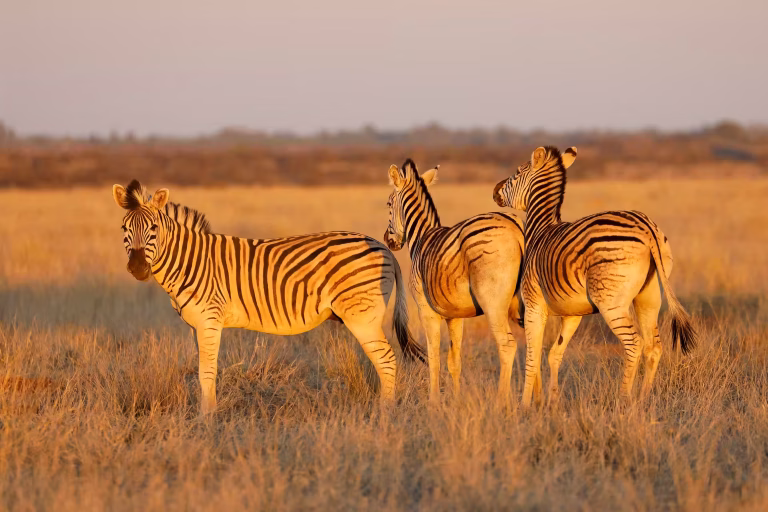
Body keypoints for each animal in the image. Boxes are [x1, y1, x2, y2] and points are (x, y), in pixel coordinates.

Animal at [112, 180, 425, 414]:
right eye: (124, 229)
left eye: (153, 229)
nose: (138, 269)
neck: (189, 261)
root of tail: (384, 247)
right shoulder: (196, 326)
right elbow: (202, 372)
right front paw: (206, 412)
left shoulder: (210, 320)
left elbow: (206, 372)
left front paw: (207, 418)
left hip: (362, 316)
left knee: (387, 360)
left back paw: (385, 413)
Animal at [384, 159, 525, 402]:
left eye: (389, 204)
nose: (388, 240)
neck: (421, 237)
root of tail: (514, 227)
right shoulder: (455, 316)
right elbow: (454, 360)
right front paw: (456, 399)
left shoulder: (426, 310)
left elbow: (434, 358)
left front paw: (433, 402)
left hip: (493, 303)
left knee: (507, 346)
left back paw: (501, 402)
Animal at [492, 146, 696, 407]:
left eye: (517, 172)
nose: (494, 190)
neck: (539, 230)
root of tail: (645, 226)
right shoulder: (573, 313)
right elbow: (555, 354)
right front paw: (553, 402)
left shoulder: (533, 303)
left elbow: (532, 357)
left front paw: (525, 405)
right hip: (648, 296)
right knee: (654, 346)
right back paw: (643, 400)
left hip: (611, 302)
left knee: (635, 343)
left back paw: (624, 399)